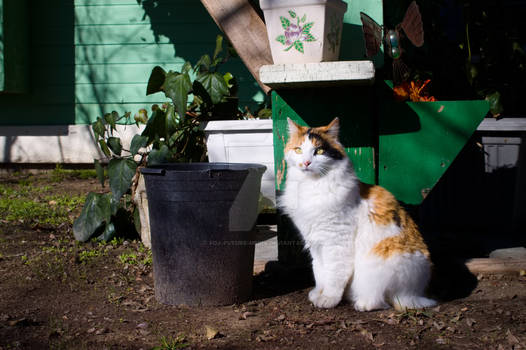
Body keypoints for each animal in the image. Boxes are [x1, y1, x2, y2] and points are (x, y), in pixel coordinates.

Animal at [280, 117, 438, 312]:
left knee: (380, 300)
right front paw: (318, 293)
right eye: (298, 150)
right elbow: (320, 272)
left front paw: (328, 299)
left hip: (381, 264)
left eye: (319, 151)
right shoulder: (315, 243)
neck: (310, 186)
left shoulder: (337, 242)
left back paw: (361, 303)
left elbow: (334, 274)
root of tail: (414, 292)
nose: (306, 163)